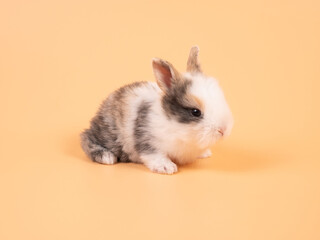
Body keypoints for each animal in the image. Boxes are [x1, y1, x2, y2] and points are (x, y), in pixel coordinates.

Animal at [81, 46, 234, 174]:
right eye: (195, 112)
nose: (223, 130)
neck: (177, 128)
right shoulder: (147, 140)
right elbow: (154, 155)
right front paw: (167, 167)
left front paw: (205, 153)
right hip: (107, 135)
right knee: (86, 137)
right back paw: (106, 156)